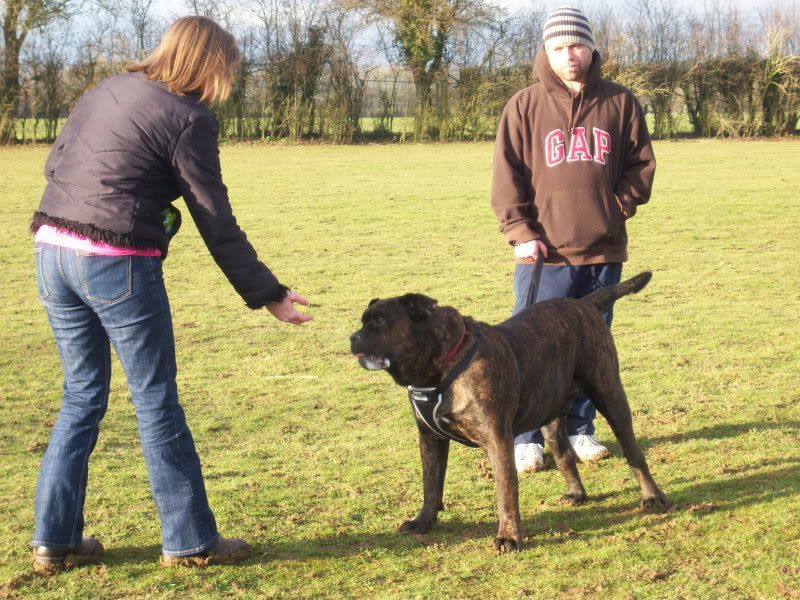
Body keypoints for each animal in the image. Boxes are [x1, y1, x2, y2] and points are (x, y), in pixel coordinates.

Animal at [354, 272, 672, 552]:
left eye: (380, 321)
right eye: (363, 321)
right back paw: (576, 494)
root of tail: (583, 304)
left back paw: (652, 497)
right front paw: (423, 521)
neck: (439, 368)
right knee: (564, 455)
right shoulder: (430, 439)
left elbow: (506, 490)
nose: (353, 337)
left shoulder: (496, 440)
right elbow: (431, 485)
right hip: (550, 415)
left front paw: (508, 536)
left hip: (610, 397)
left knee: (633, 453)